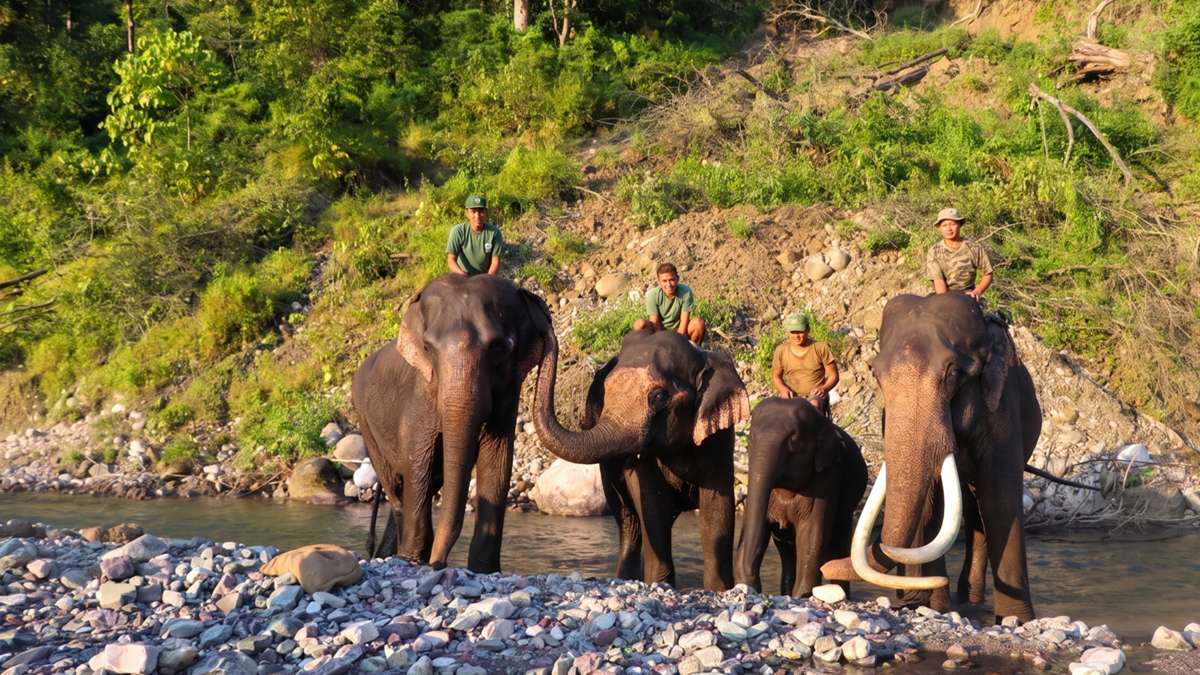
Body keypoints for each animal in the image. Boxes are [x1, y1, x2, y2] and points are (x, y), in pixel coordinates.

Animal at [351, 273, 552, 573]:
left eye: (500, 348)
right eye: (427, 348)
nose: (439, 564)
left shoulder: (508, 394)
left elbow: (497, 463)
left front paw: (483, 569)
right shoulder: (420, 395)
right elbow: (419, 464)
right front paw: (413, 560)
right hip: (366, 424)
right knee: (397, 489)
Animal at [531, 329, 750, 591]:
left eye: (659, 396)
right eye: (604, 392)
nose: (545, 331)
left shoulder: (718, 438)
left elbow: (717, 507)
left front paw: (719, 589)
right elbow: (651, 502)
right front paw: (660, 583)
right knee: (629, 522)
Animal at [735, 397, 867, 597]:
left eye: (794, 443)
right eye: (750, 440)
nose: (752, 583)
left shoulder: (827, 479)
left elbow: (811, 535)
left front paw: (803, 594)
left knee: (837, 546)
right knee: (789, 553)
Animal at [820, 292, 1042, 622]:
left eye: (952, 373)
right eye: (875, 374)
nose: (825, 568)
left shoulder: (1003, 410)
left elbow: (1001, 500)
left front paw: (1017, 620)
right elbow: (928, 504)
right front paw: (929, 606)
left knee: (979, 507)